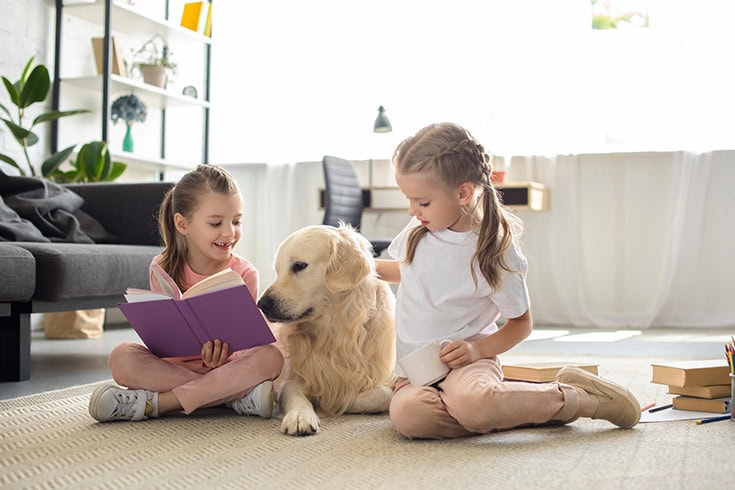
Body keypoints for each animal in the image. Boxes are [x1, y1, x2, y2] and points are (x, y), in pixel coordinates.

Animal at [258, 224, 396, 434]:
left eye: (299, 265)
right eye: (277, 270)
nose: (261, 304)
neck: (333, 331)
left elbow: (382, 394)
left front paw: (334, 403)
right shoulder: (292, 380)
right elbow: (296, 397)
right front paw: (301, 416)